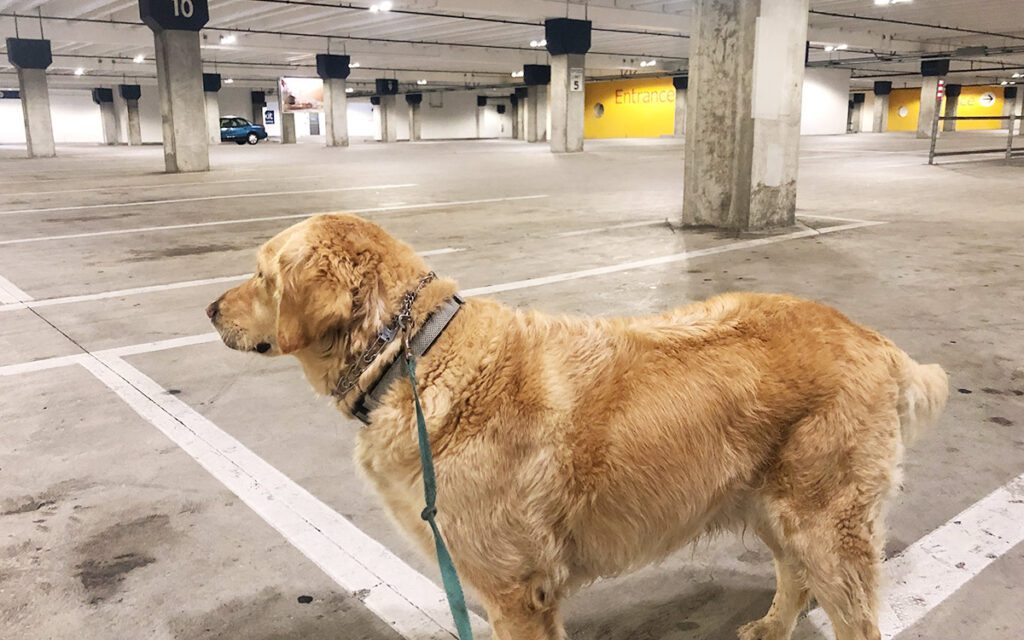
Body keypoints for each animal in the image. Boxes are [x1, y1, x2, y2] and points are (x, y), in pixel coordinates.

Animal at [207, 212, 950, 638]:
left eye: (262, 276)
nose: (210, 309)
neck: (414, 356)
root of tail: (873, 339)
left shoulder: (517, 592)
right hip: (773, 505)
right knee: (793, 575)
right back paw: (770, 626)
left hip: (827, 523)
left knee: (852, 615)